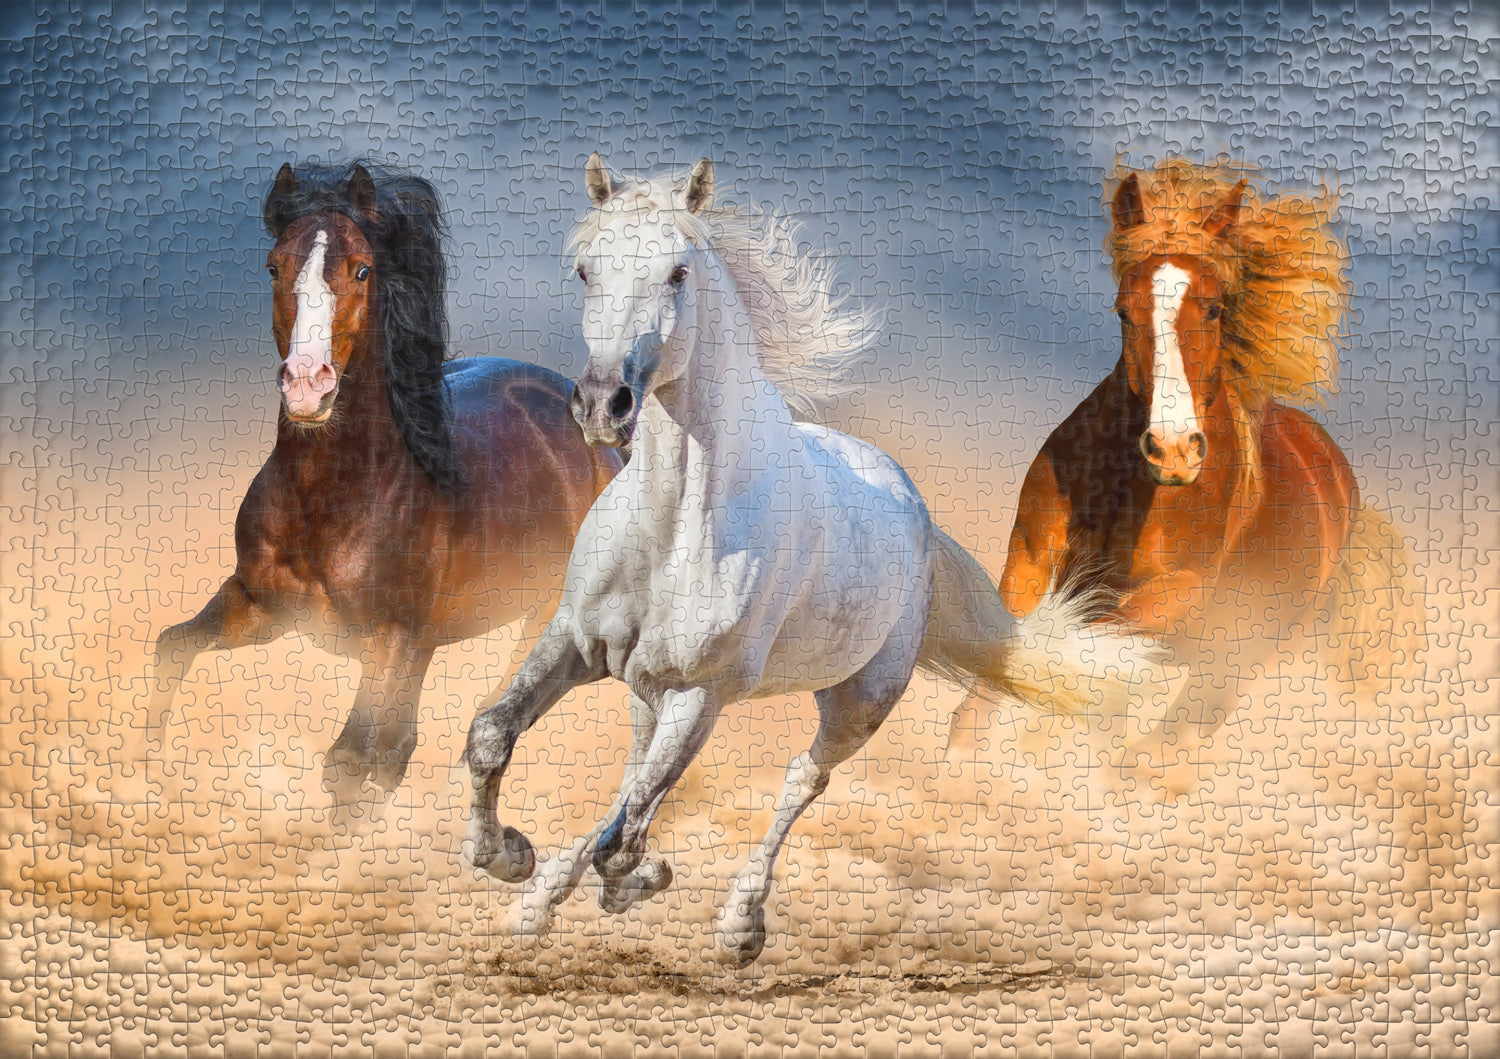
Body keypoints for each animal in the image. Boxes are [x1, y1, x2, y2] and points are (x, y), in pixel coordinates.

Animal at [145, 162, 619, 802]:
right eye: (273, 265)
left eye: (362, 269)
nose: (307, 385)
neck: (330, 497)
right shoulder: (261, 607)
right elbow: (173, 647)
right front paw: (144, 773)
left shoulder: (388, 640)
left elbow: (349, 760)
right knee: (413, 741)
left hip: (537, 619)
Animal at [462, 153, 1162, 966]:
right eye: (585, 270)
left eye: (677, 272)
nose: (605, 404)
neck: (675, 525)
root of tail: (916, 511)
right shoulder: (576, 641)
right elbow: (493, 737)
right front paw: (510, 858)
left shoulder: (701, 693)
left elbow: (627, 839)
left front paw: (634, 879)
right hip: (648, 689)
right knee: (636, 778)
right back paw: (542, 903)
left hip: (856, 703)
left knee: (800, 779)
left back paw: (739, 925)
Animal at [999, 160, 1420, 787]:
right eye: (1124, 310)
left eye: (1216, 307)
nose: (1174, 452)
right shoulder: (1028, 563)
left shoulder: (1173, 593)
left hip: (1234, 662)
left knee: (1173, 733)